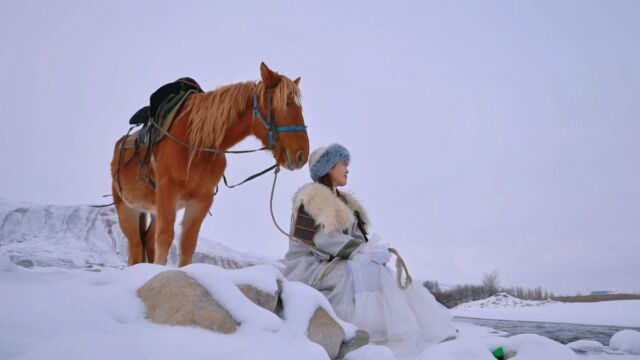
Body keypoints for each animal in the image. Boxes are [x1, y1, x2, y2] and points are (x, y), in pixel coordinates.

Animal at [110, 63, 310, 268]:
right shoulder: (167, 192)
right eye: (285, 103)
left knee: (147, 240)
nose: (302, 155)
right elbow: (165, 237)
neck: (197, 144)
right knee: (136, 246)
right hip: (128, 210)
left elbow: (188, 243)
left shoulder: (201, 200)